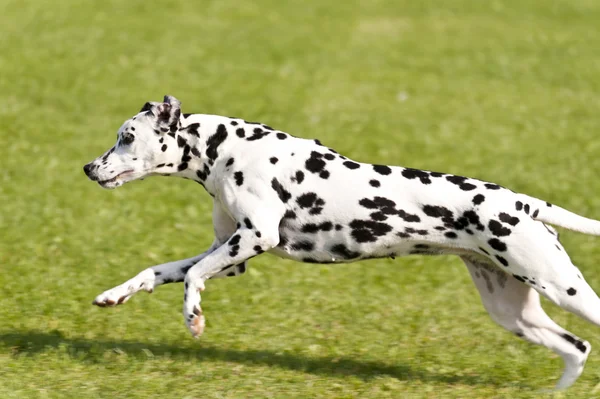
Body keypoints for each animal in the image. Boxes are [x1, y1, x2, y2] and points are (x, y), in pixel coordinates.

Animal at [83, 95, 600, 390]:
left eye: (127, 137)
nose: (89, 168)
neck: (229, 149)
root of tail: (524, 203)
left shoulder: (253, 238)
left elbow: (191, 278)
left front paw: (194, 317)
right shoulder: (229, 253)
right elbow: (158, 271)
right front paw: (115, 294)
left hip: (563, 289)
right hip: (513, 312)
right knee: (577, 349)